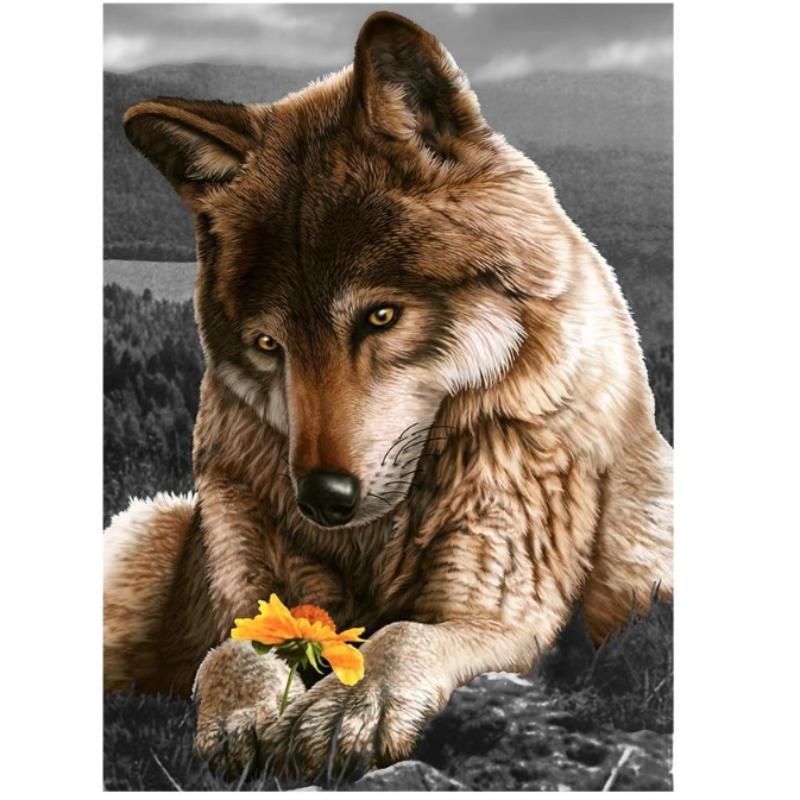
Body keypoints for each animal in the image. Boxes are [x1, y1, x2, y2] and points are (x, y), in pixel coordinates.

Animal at [104, 11, 672, 781]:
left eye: (380, 316)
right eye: (268, 345)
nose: (322, 499)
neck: (378, 539)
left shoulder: (502, 611)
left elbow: (402, 633)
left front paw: (353, 704)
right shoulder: (250, 584)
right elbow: (234, 646)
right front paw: (246, 714)